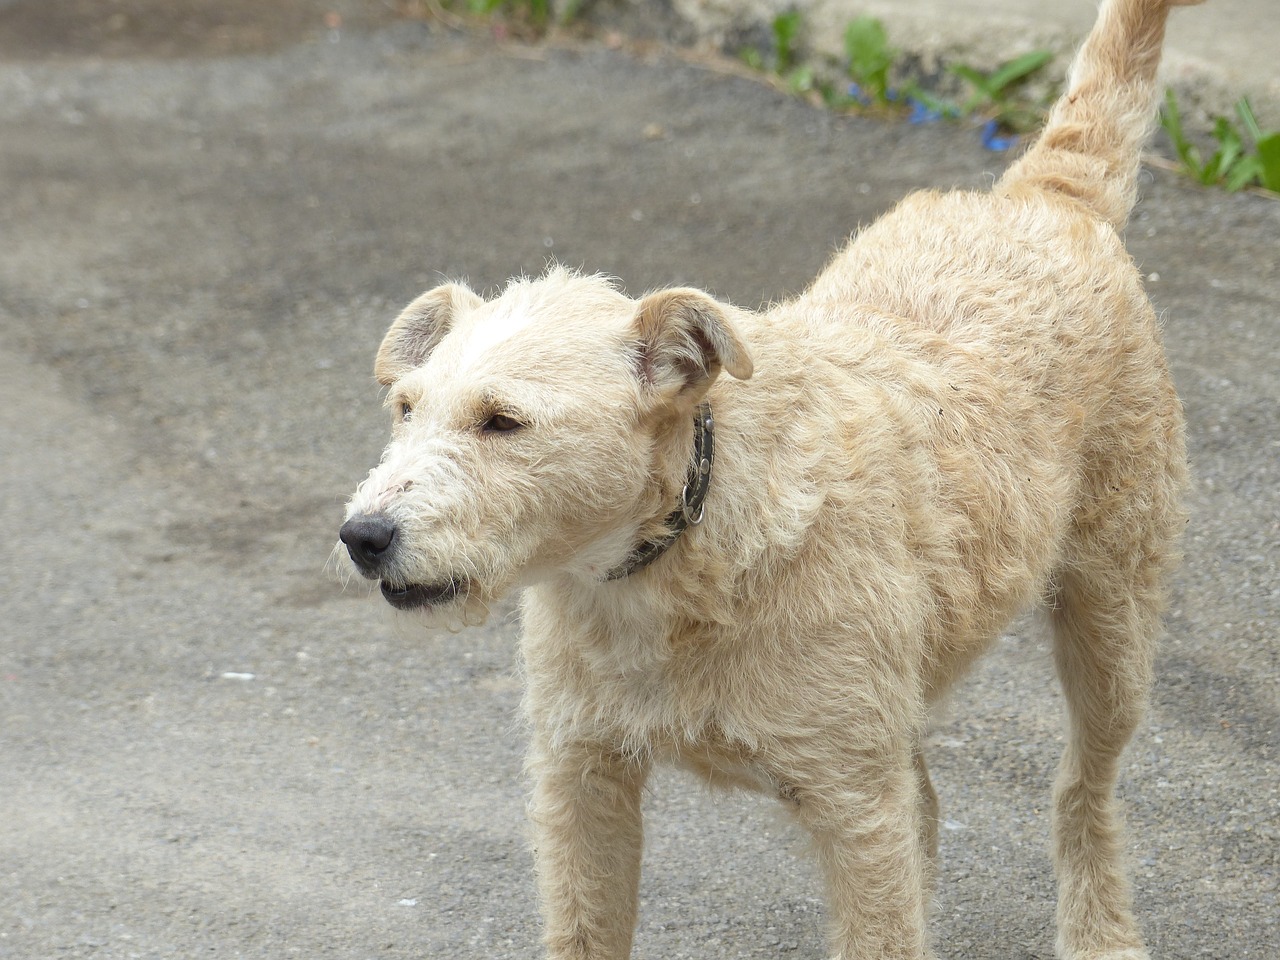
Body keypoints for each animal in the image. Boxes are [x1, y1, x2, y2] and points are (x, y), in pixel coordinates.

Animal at [343, 1, 1198, 957]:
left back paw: (1099, 930)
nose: (363, 536)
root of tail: (1043, 198)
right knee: (936, 803)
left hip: (1111, 624)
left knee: (1083, 787)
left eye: (502, 421)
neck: (684, 542)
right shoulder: (582, 779)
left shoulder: (856, 808)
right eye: (405, 407)